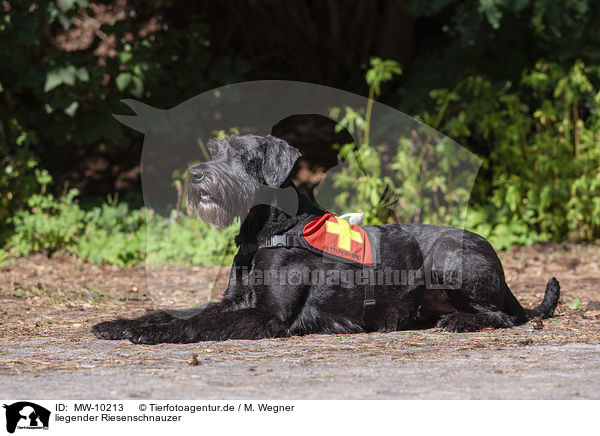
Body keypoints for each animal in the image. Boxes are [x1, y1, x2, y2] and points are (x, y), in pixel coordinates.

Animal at [91, 135, 560, 342]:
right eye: (217, 149)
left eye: (244, 157)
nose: (195, 175)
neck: (266, 231)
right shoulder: (235, 301)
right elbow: (175, 311)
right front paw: (122, 323)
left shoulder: (268, 317)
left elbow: (198, 322)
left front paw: (155, 334)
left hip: (450, 259)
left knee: (507, 317)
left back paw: (462, 321)